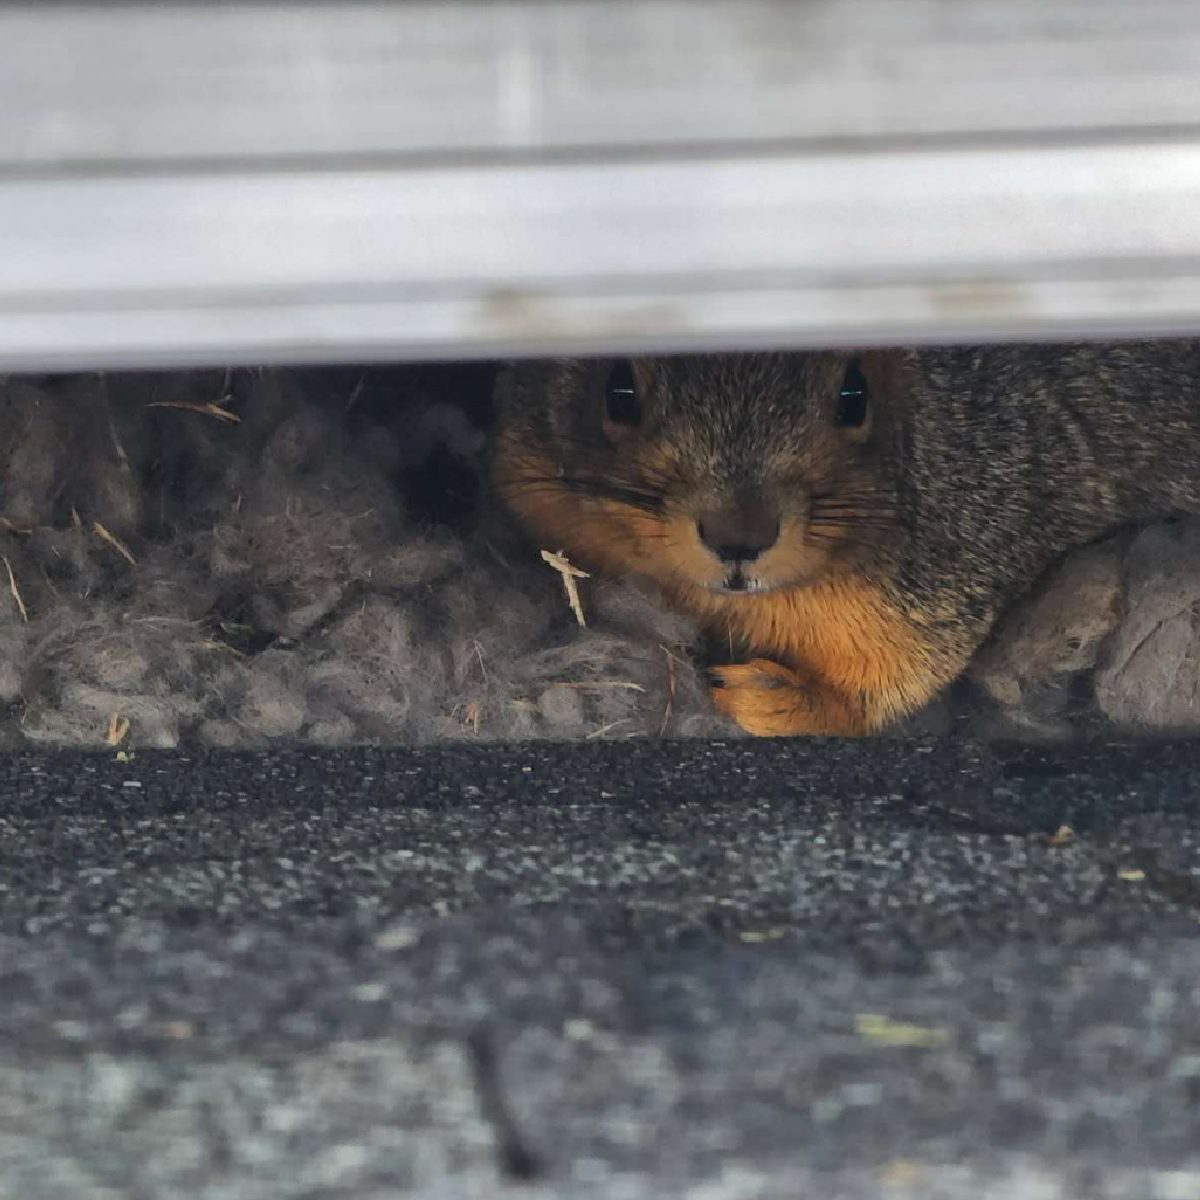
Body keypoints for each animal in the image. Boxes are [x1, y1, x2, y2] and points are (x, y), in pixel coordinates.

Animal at [489, 342, 1200, 736]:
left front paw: (766, 698)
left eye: (853, 396)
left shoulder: (941, 584)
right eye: (620, 391)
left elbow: (884, 689)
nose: (740, 537)